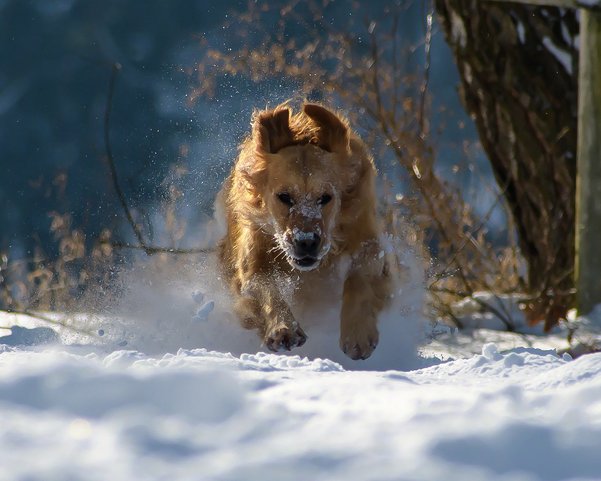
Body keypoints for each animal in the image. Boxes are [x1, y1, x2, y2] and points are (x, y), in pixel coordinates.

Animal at [216, 102, 394, 360]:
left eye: (326, 197)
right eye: (284, 197)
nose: (307, 242)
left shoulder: (368, 239)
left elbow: (360, 278)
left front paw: (358, 334)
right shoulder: (252, 261)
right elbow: (266, 287)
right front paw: (283, 329)